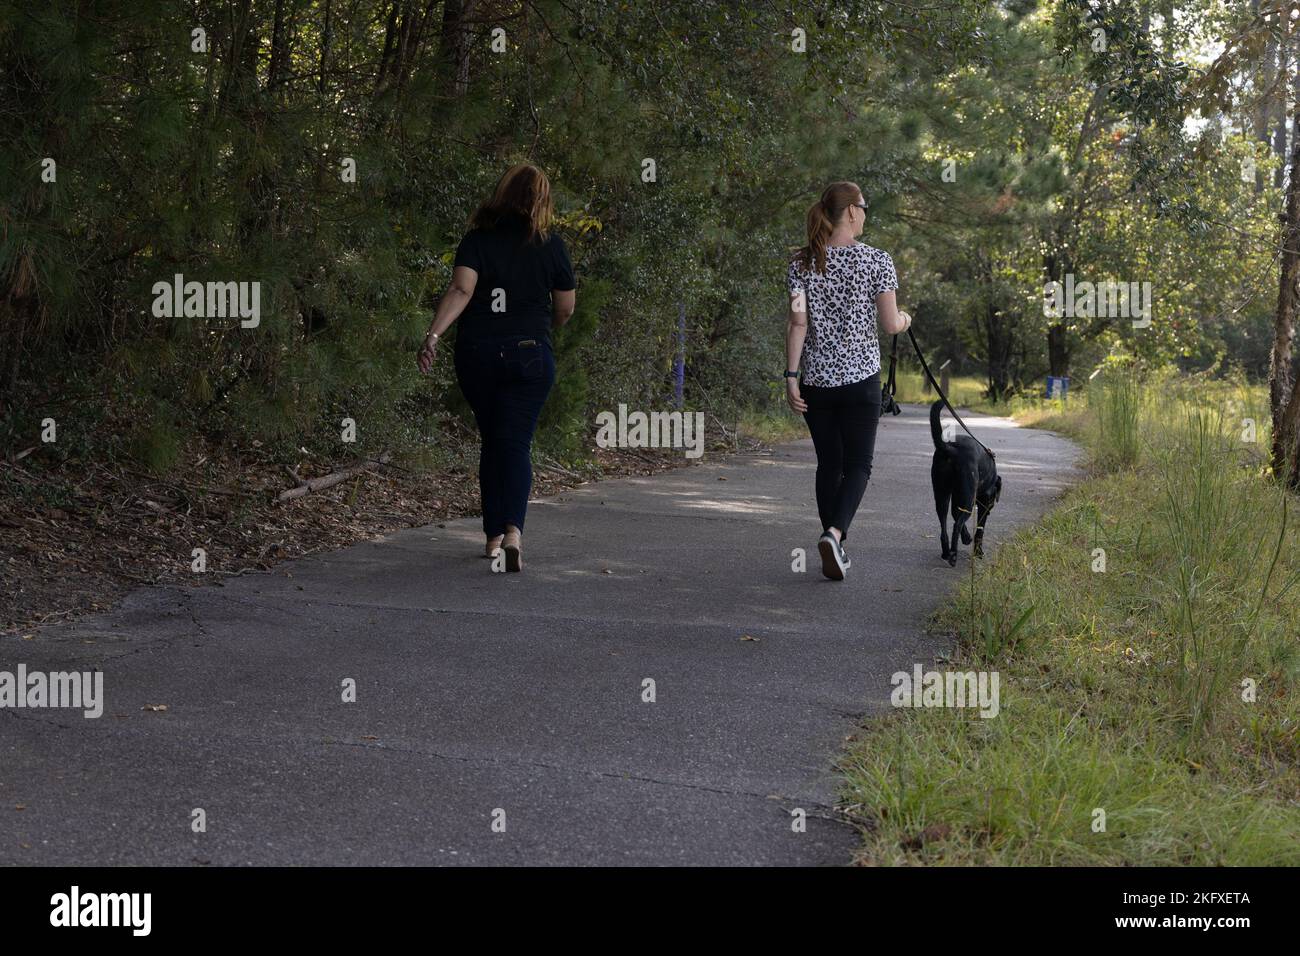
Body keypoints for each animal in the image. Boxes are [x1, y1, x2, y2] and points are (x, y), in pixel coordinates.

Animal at [930, 398, 998, 564]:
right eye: (994, 499)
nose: (992, 508)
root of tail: (950, 449)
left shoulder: (957, 499)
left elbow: (955, 515)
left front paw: (966, 537)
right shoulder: (983, 503)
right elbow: (979, 530)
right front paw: (978, 552)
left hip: (942, 495)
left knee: (944, 525)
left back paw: (946, 552)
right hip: (967, 500)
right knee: (957, 525)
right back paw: (953, 555)